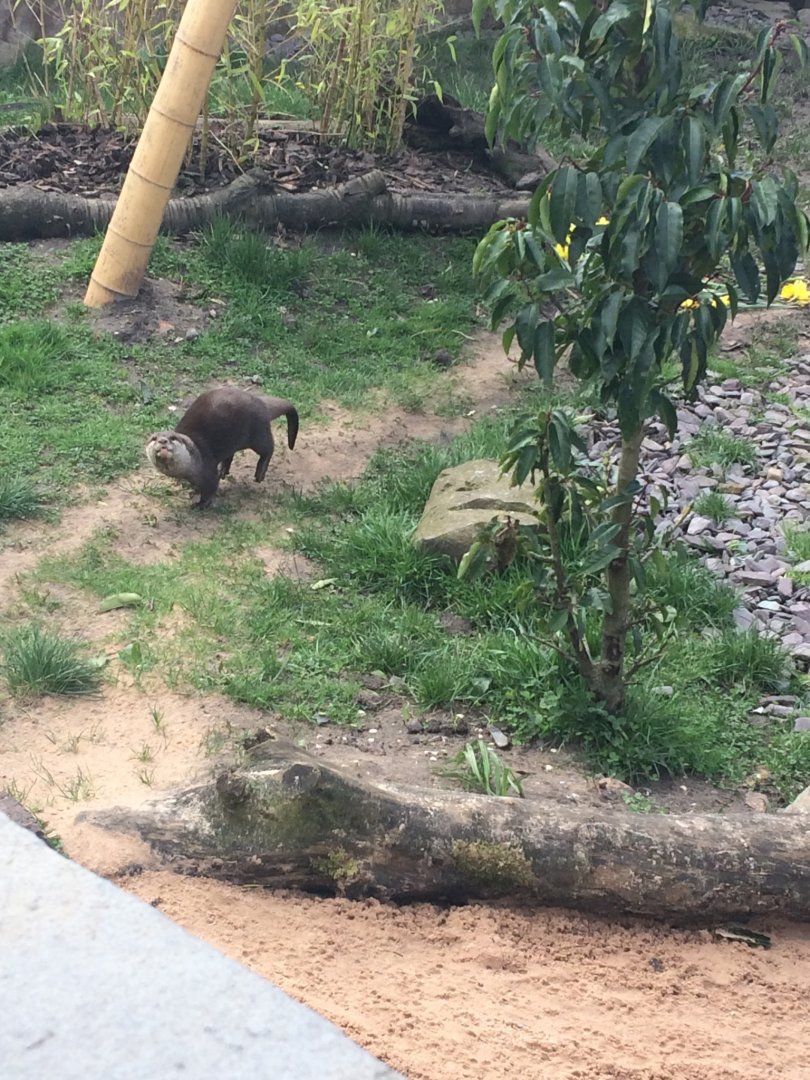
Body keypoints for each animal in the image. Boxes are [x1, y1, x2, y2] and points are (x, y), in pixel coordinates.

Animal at [146, 387, 298, 509]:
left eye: (172, 438)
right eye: (154, 438)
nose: (163, 440)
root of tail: (261, 403)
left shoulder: (207, 467)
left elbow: (210, 487)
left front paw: (201, 504)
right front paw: (193, 489)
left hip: (257, 432)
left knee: (268, 448)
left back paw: (259, 473)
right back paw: (224, 470)